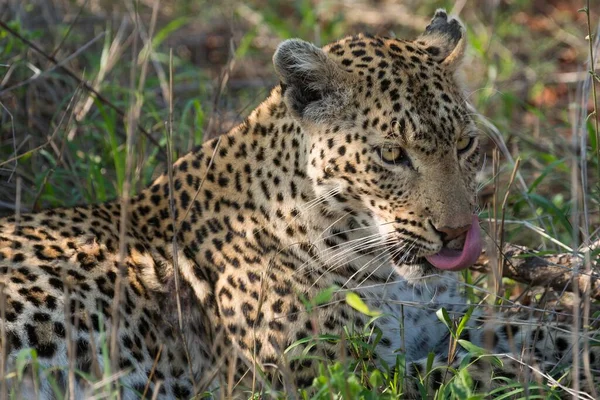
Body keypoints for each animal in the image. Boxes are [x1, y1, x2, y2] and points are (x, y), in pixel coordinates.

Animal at [1, 9, 600, 400]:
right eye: (392, 154)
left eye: (464, 145)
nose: (457, 236)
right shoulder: (329, 374)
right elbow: (481, 373)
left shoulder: (448, 322)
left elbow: (535, 331)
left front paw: (583, 352)